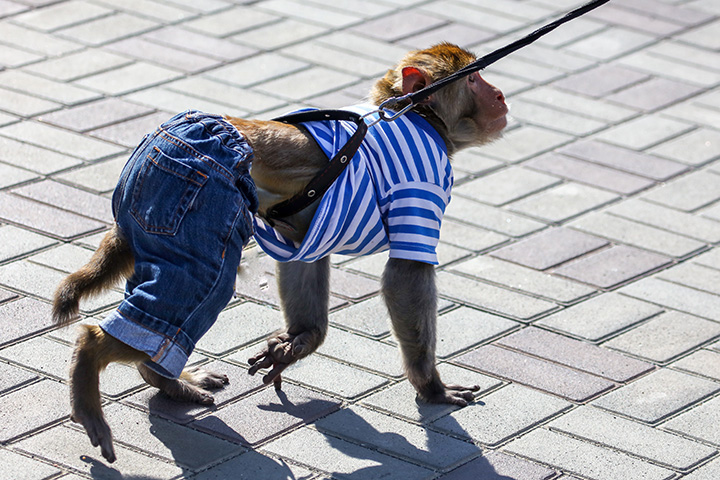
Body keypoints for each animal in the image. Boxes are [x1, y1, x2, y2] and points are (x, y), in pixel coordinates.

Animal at [52, 43, 508, 463]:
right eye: (473, 78)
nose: (500, 94)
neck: (415, 116)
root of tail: (162, 137)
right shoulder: (422, 182)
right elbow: (405, 275)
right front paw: (431, 387)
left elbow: (304, 256)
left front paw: (299, 341)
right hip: (191, 195)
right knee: (195, 289)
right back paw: (92, 359)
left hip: (154, 212)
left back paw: (166, 379)